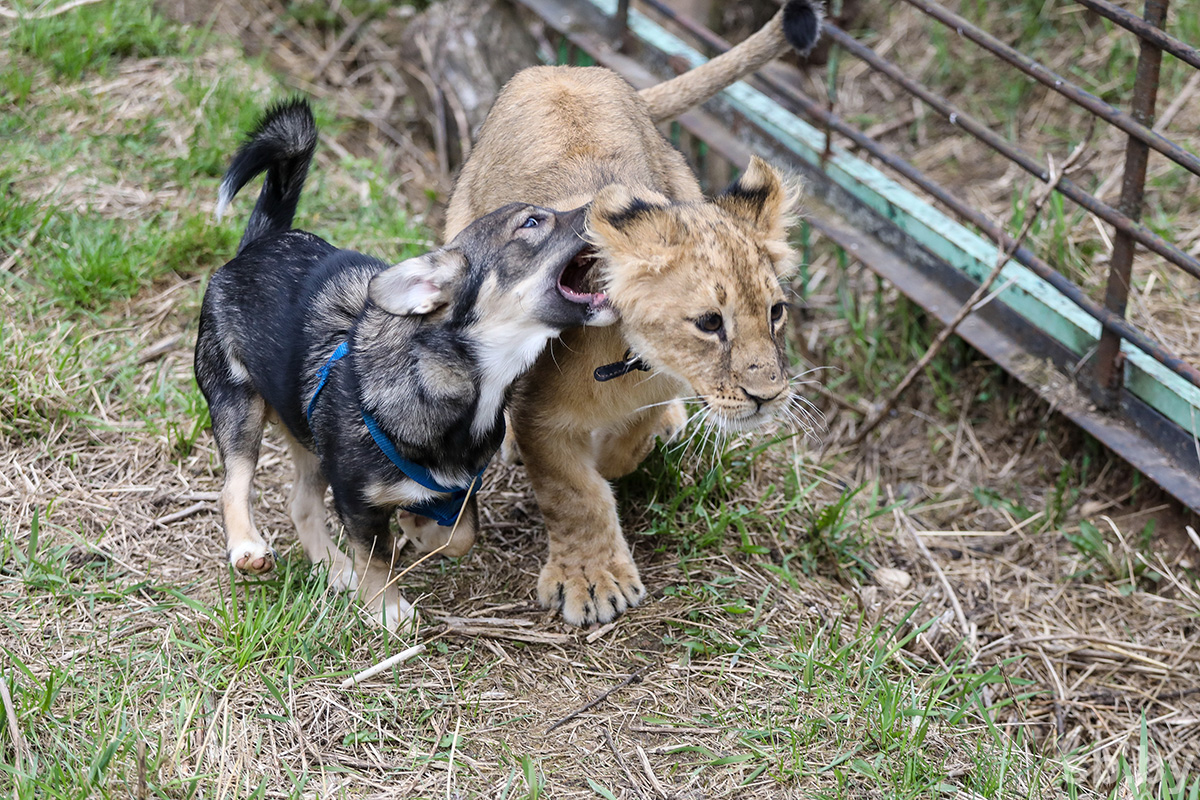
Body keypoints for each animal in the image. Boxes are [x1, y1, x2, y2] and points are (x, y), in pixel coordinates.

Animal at [198, 98, 614, 623]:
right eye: (532, 223)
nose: (615, 202)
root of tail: (256, 245)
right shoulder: (357, 498)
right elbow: (377, 554)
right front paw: (387, 607)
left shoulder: (460, 489)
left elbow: (460, 535)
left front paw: (417, 529)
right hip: (238, 404)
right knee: (234, 483)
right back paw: (250, 548)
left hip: (307, 434)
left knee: (301, 504)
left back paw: (336, 568)